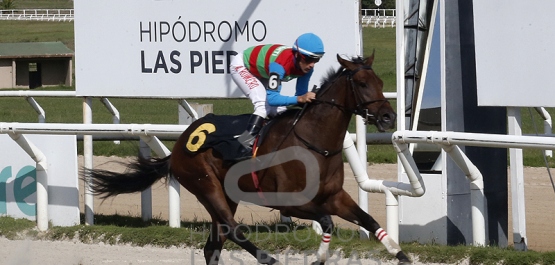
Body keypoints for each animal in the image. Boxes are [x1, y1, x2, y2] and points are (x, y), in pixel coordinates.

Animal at [87, 54, 412, 264]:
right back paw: (269, 259)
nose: (388, 117)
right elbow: (327, 222)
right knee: (233, 230)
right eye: (362, 83)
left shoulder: (334, 196)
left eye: (380, 80)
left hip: (225, 193)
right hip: (205, 185)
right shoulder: (289, 202)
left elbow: (369, 220)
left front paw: (400, 253)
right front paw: (318, 259)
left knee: (214, 243)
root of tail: (179, 144)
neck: (314, 141)